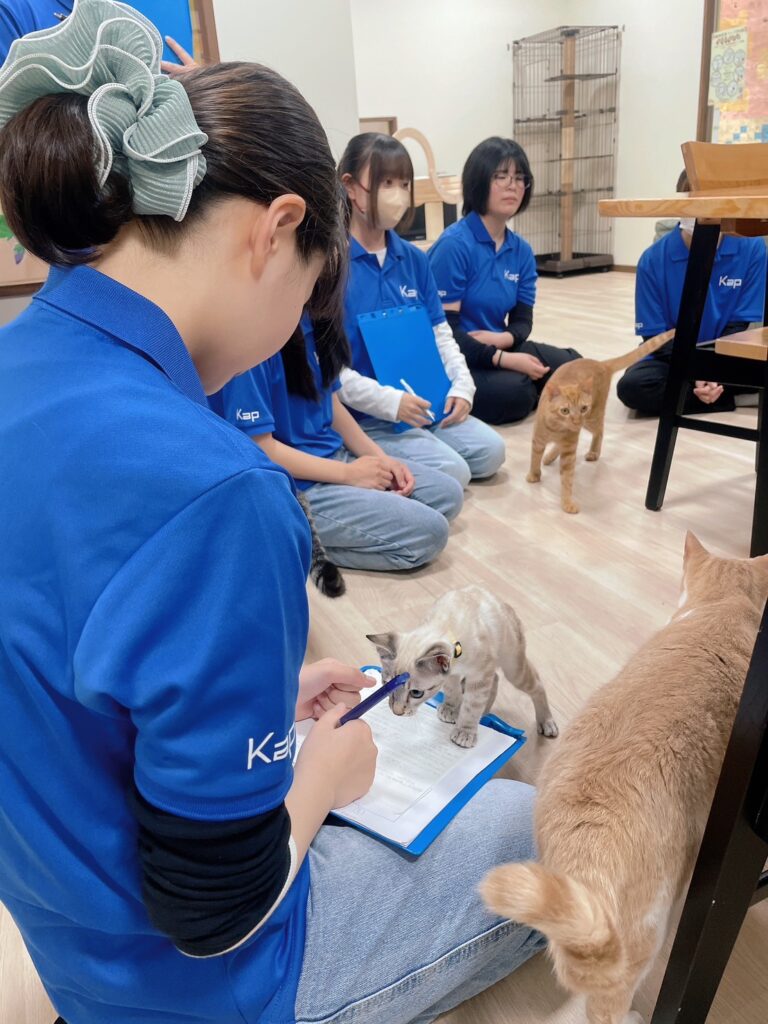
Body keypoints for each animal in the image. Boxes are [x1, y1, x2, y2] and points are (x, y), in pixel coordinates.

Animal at [366, 584, 557, 748]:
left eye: (416, 693)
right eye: (386, 686)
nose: (396, 712)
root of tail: (504, 603)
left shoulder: (479, 676)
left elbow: (471, 706)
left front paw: (465, 732)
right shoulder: (452, 674)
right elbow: (453, 692)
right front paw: (451, 709)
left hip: (513, 667)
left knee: (537, 685)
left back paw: (547, 722)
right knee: (495, 679)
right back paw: (485, 712)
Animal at [527, 329, 675, 514]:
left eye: (583, 408)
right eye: (565, 411)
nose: (576, 420)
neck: (557, 429)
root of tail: (602, 364)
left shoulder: (569, 450)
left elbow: (567, 479)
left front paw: (567, 502)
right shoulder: (538, 440)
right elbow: (534, 458)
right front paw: (534, 475)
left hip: (592, 419)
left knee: (600, 431)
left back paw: (593, 452)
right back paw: (549, 457)